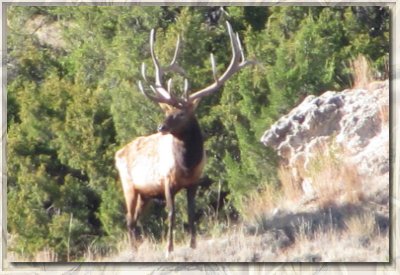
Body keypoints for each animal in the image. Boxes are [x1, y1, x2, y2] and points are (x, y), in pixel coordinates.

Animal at [114, 21, 255, 256]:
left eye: (180, 113)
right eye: (166, 111)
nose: (161, 127)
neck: (187, 165)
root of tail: (117, 154)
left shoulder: (194, 182)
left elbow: (191, 212)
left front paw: (193, 243)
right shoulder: (166, 181)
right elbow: (172, 213)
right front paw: (169, 248)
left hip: (145, 195)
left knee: (134, 220)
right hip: (129, 186)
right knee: (129, 219)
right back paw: (133, 250)